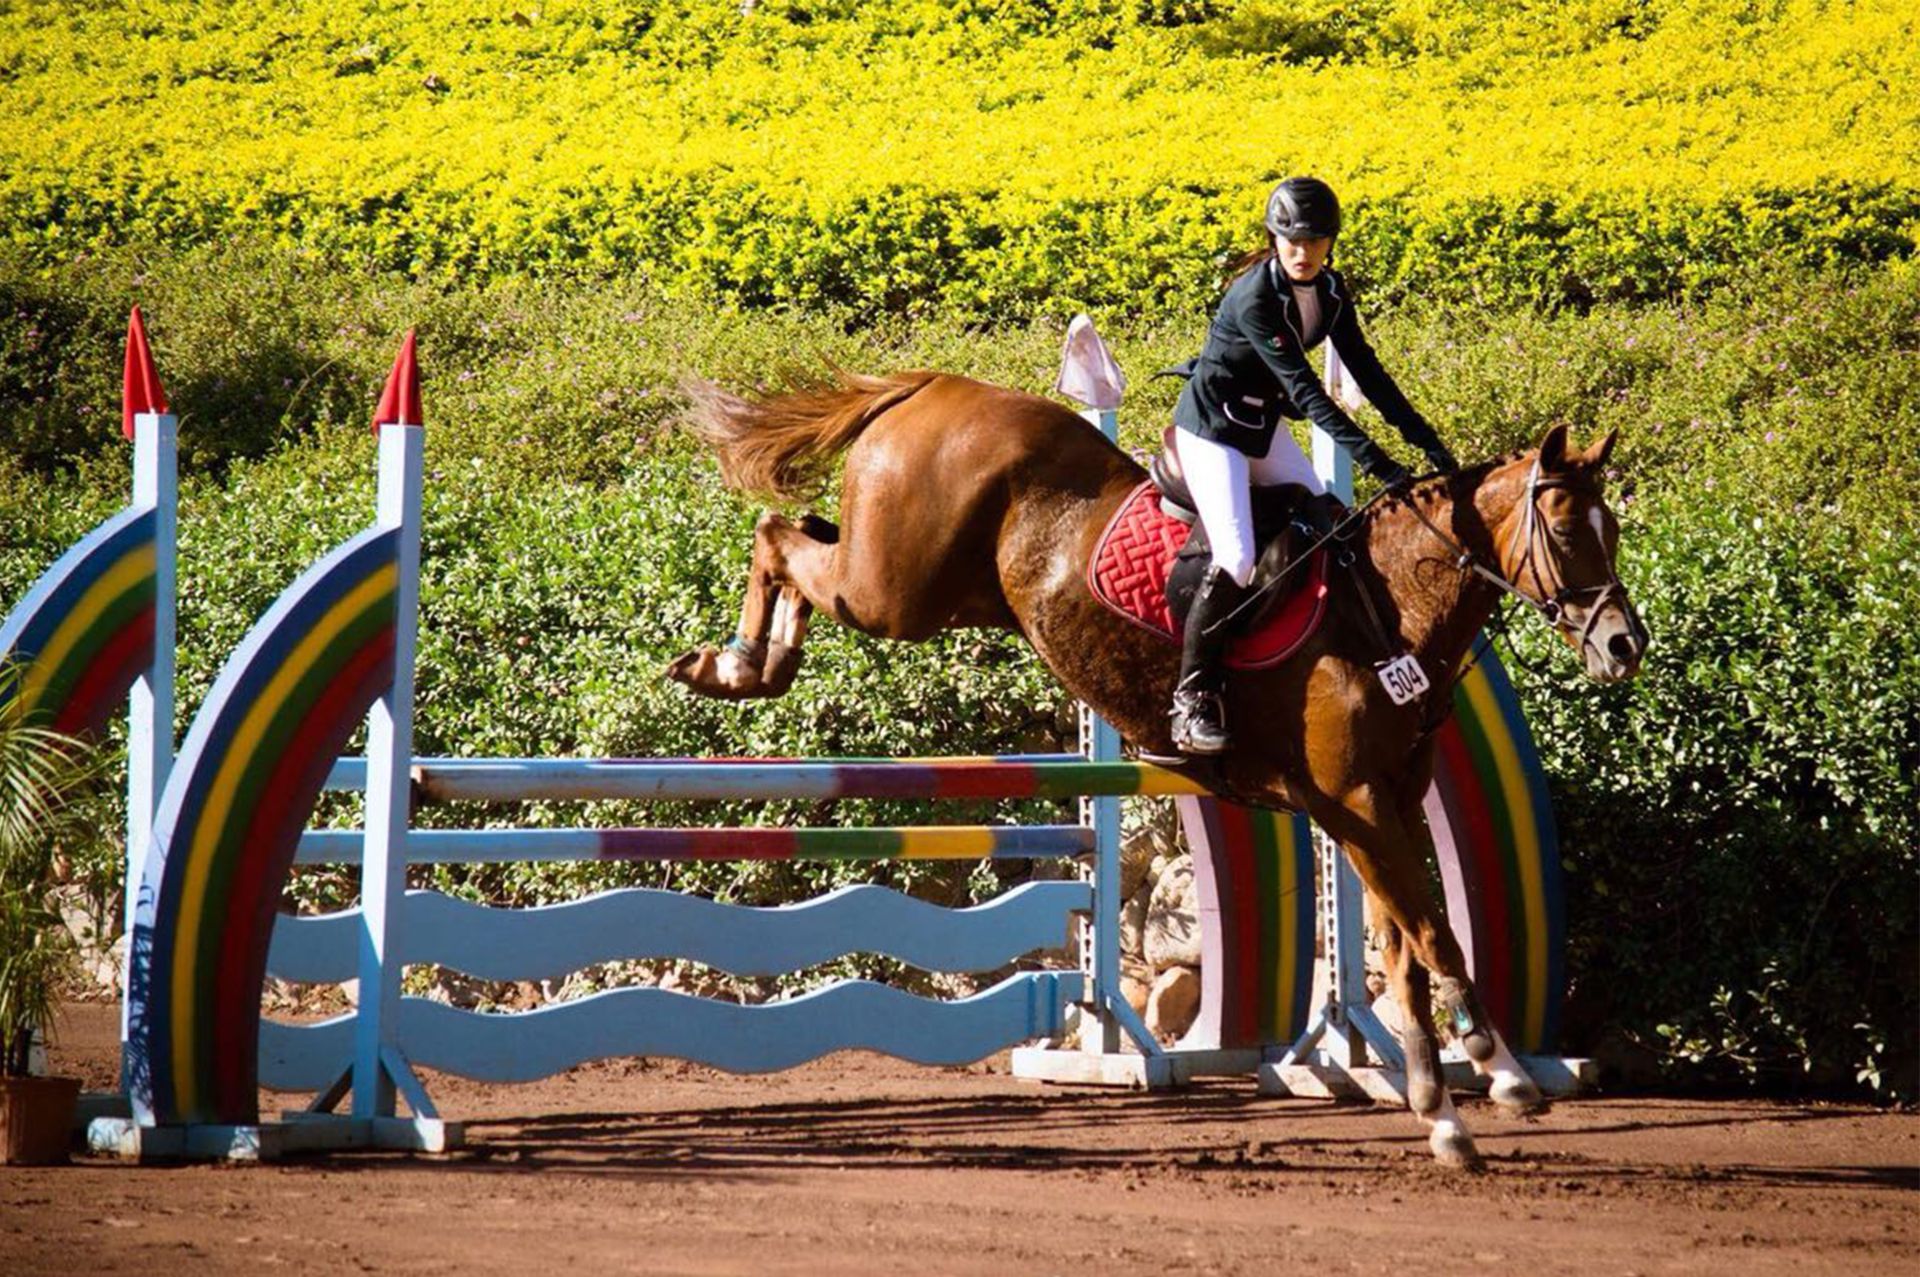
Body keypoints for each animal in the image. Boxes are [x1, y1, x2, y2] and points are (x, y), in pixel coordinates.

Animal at [668, 368, 1643, 1167]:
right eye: (1565, 530)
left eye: (1615, 530)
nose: (1623, 645)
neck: (1387, 601)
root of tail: (935, 386)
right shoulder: (1356, 804)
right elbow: (1434, 933)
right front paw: (1497, 1073)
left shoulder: (1384, 804)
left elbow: (1407, 946)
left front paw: (1443, 1106)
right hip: (891, 590)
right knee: (781, 536)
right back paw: (736, 664)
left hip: (935, 591)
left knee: (799, 536)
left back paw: (755, 659)